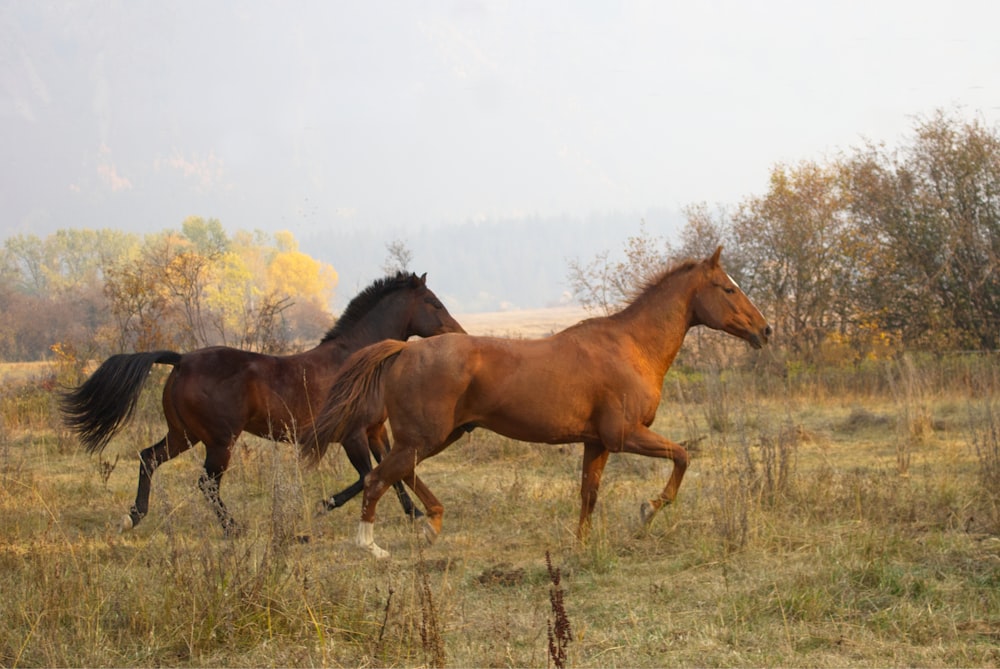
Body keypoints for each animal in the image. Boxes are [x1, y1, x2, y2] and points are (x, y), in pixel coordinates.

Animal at [60, 272, 466, 532]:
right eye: (433, 303)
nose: (460, 334)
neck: (359, 358)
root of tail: (181, 360)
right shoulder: (351, 436)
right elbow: (369, 476)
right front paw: (324, 505)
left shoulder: (375, 431)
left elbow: (394, 474)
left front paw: (414, 515)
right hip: (219, 441)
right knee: (206, 483)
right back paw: (233, 527)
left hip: (184, 435)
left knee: (148, 458)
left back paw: (133, 516)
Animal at [304, 248, 772, 556]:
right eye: (728, 289)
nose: (765, 331)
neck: (631, 347)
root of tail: (404, 349)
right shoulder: (624, 435)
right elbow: (682, 457)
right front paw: (646, 510)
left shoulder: (596, 442)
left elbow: (588, 494)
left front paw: (581, 546)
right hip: (422, 438)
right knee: (377, 479)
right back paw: (372, 547)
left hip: (436, 437)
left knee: (398, 474)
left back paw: (431, 525)